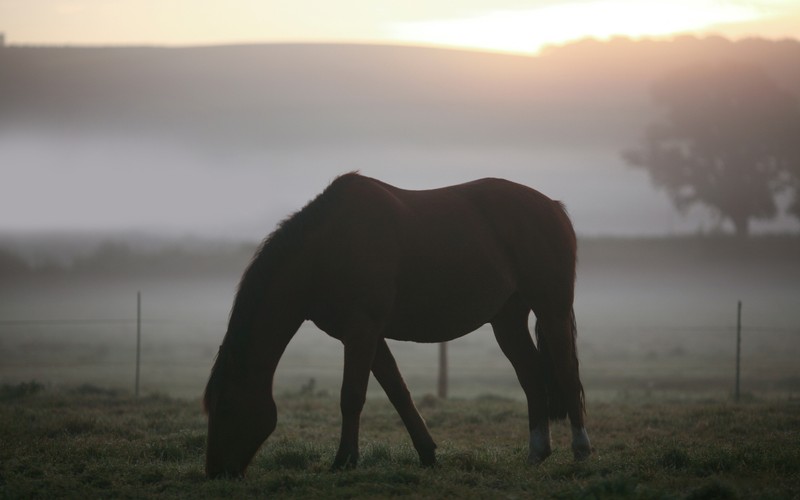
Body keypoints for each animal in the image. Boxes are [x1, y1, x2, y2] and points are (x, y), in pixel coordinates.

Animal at [205, 172, 592, 476]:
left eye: (225, 407)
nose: (214, 471)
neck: (329, 247)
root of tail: (553, 207)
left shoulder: (362, 329)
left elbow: (352, 396)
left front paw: (344, 461)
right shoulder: (365, 335)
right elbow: (398, 393)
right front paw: (428, 454)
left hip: (552, 310)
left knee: (567, 373)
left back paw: (581, 451)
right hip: (507, 321)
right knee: (531, 376)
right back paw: (537, 453)